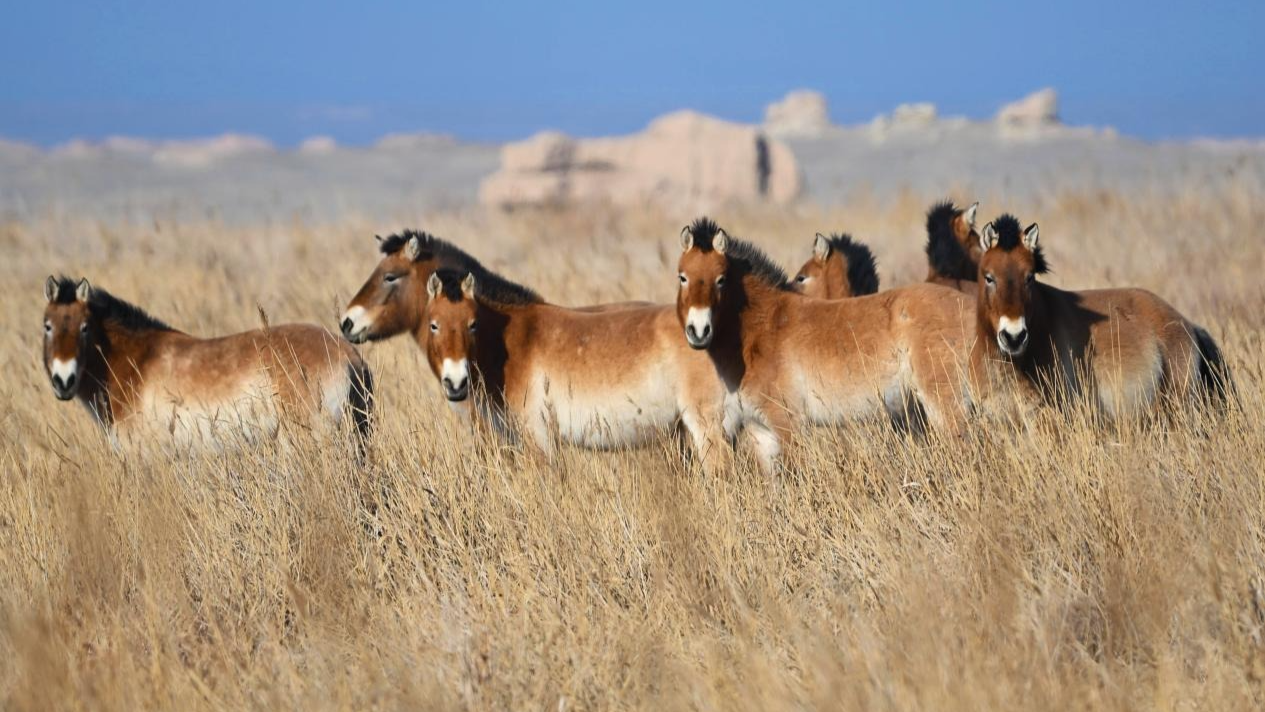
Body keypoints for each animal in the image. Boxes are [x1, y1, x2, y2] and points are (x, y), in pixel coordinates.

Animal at [676, 218, 977, 472]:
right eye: (682, 276)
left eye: (721, 279)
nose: (699, 331)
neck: (766, 325)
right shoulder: (760, 430)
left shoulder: (788, 424)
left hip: (944, 403)